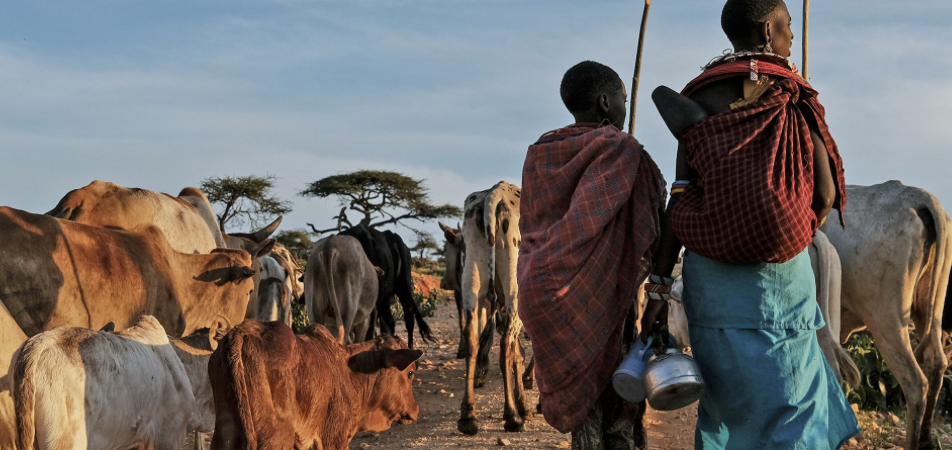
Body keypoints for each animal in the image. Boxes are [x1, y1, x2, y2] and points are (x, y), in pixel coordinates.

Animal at [210, 320, 422, 450]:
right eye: (410, 373)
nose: (416, 409)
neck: (351, 373)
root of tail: (240, 333)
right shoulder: (334, 438)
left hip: (225, 429)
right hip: (273, 438)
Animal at [820, 181, 952, 450]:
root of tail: (918, 196)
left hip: (886, 319)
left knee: (915, 382)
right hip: (929, 308)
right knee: (937, 363)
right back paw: (925, 440)